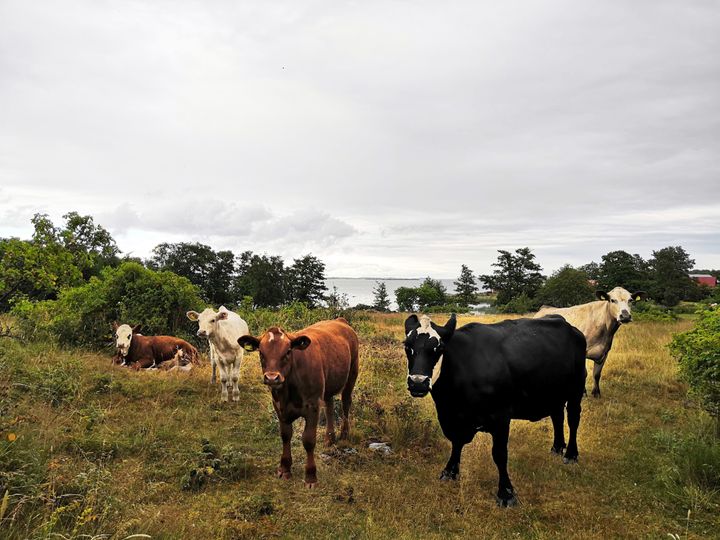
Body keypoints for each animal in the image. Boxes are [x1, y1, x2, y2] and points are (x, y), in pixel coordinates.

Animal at [238, 318, 358, 488]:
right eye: (261, 352)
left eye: (288, 351)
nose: (272, 377)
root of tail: (339, 320)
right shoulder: (279, 406)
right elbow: (285, 435)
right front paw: (284, 468)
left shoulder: (313, 406)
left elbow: (308, 440)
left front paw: (311, 476)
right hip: (328, 384)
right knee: (329, 406)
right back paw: (329, 438)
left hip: (352, 373)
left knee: (346, 402)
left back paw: (344, 434)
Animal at [404, 312, 584, 506]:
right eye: (406, 346)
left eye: (439, 347)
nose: (418, 382)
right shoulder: (454, 418)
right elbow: (456, 443)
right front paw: (449, 472)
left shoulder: (501, 417)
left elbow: (500, 454)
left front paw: (506, 493)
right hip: (553, 394)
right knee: (557, 416)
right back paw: (557, 448)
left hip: (576, 390)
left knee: (573, 420)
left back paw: (571, 454)